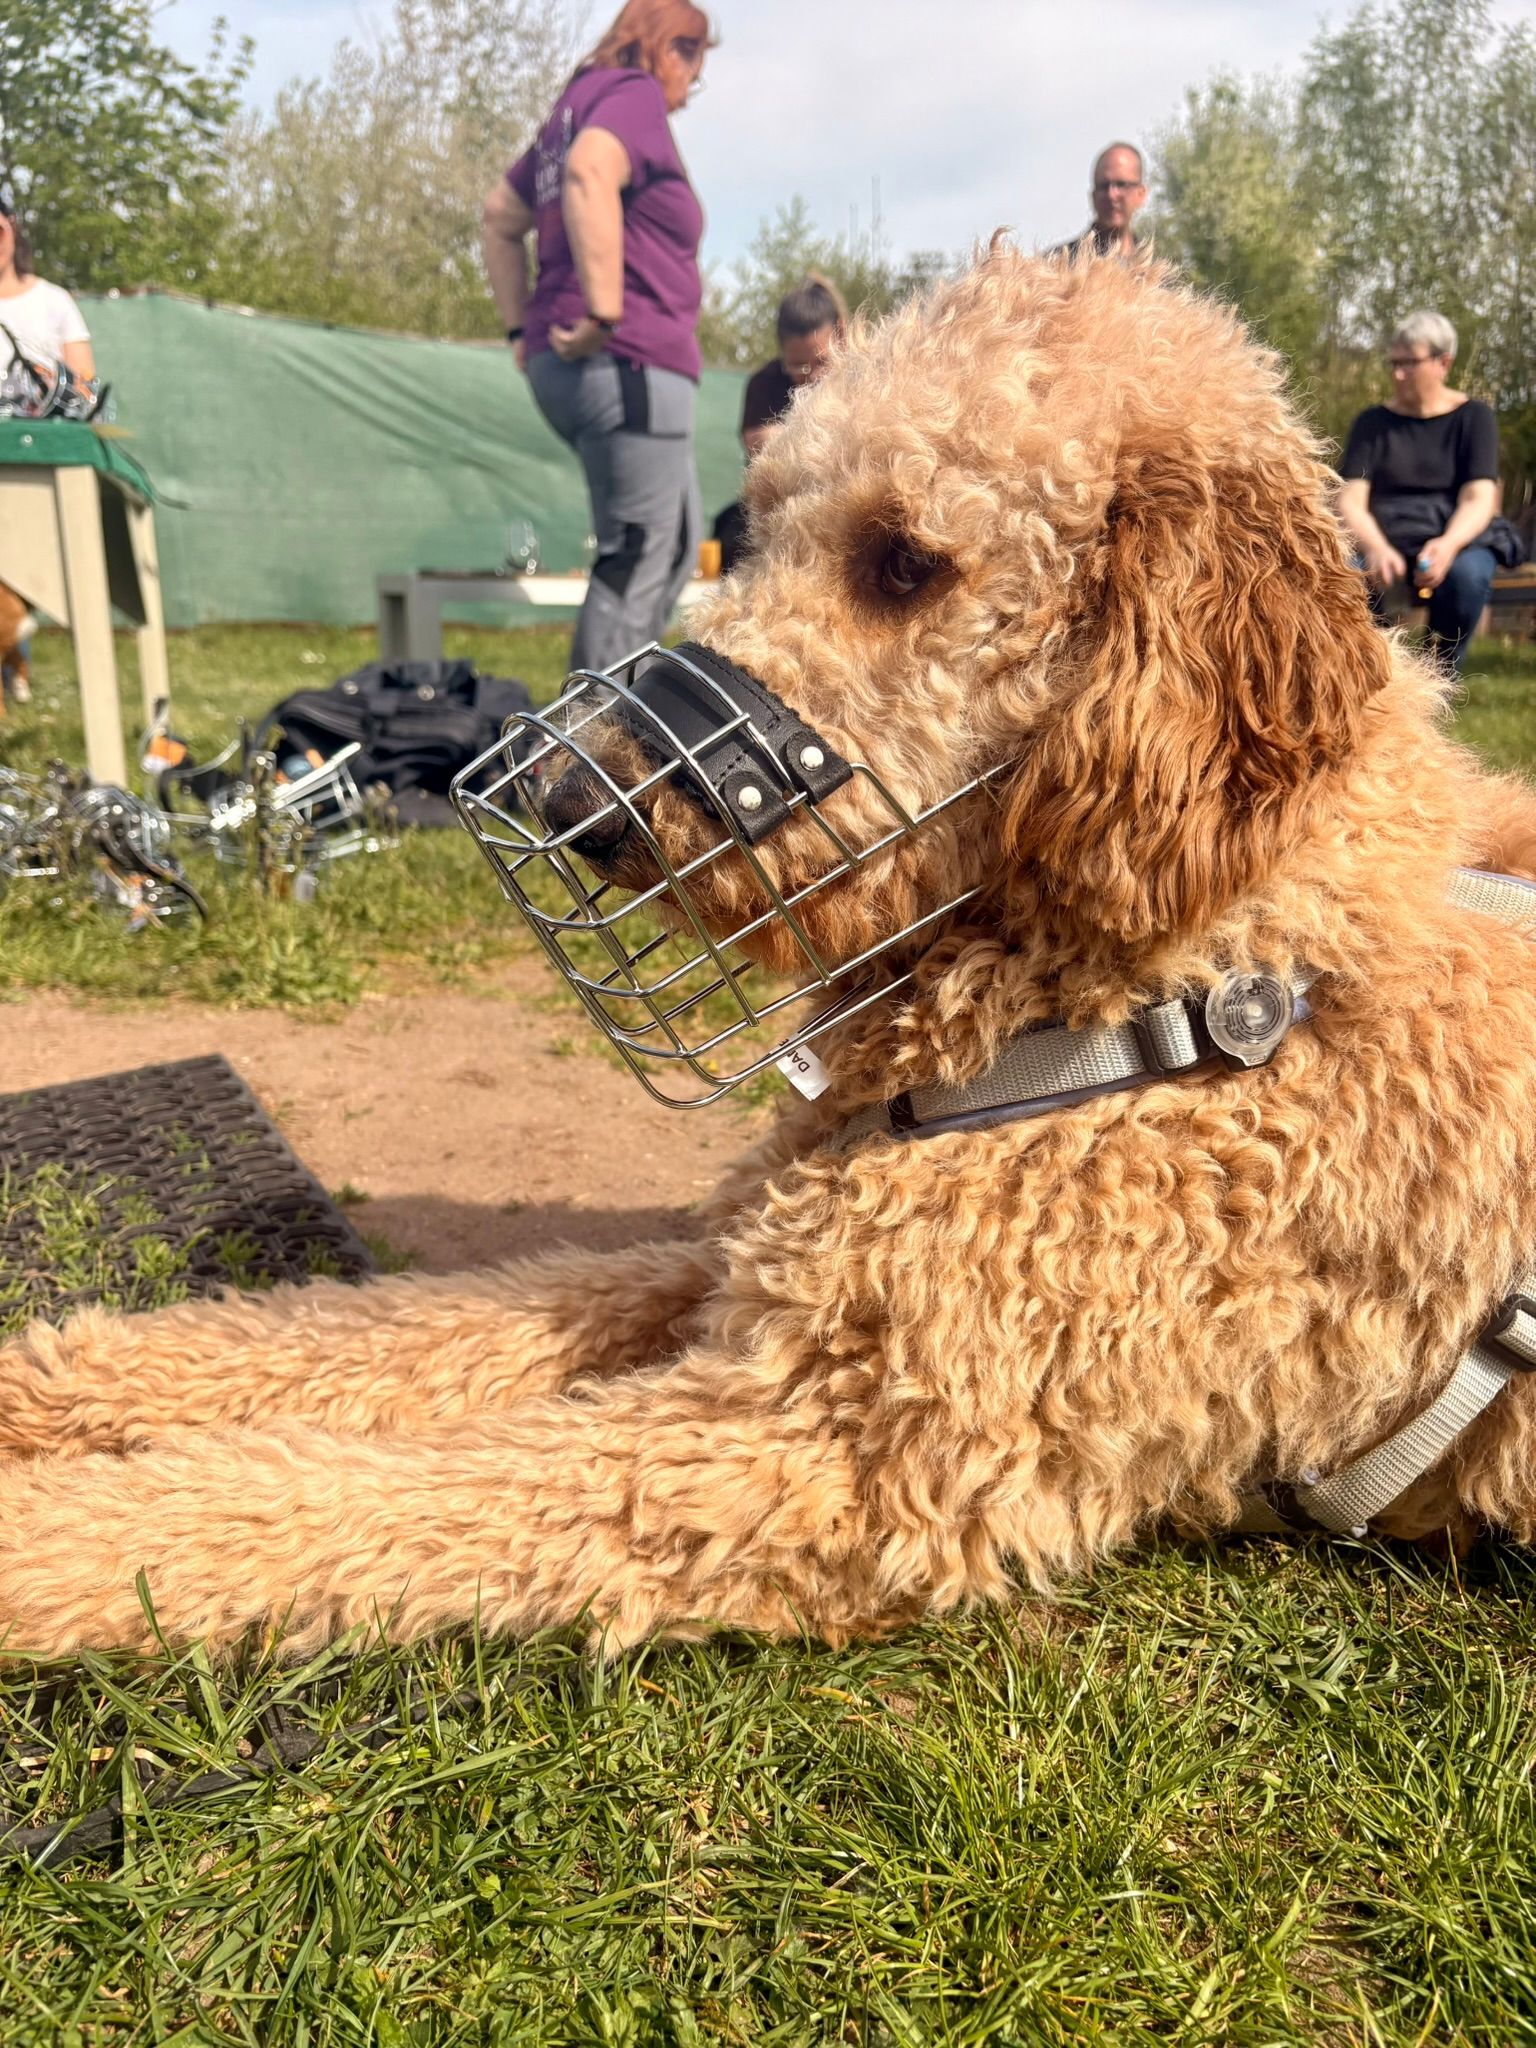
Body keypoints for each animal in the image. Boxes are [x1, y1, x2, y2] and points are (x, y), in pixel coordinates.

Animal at [4, 245, 1536, 1661]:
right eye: (759, 530)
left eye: (905, 560)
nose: (563, 801)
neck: (1193, 980)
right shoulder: (745, 1268)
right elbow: (400, 1324)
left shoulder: (840, 1454)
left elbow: (367, 1496)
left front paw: (52, 1533)